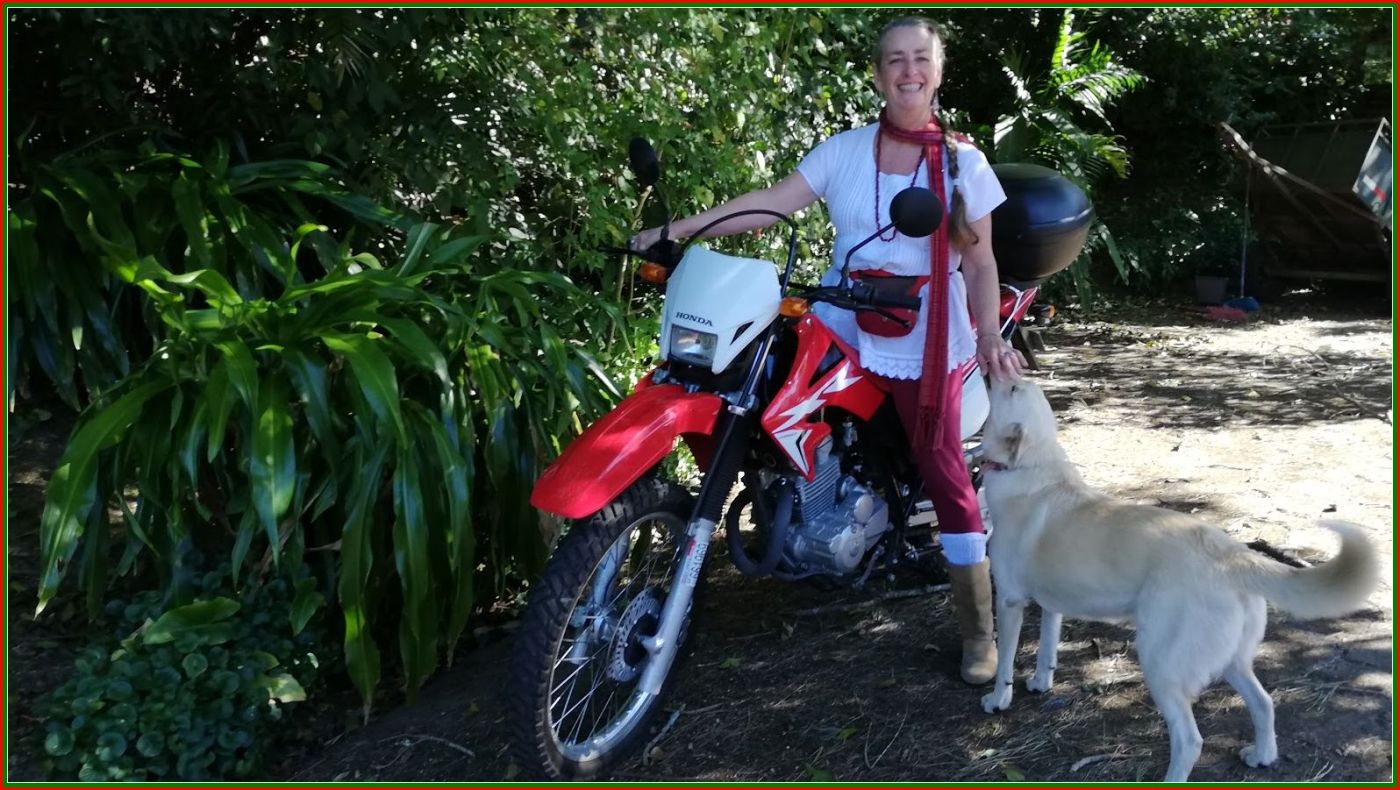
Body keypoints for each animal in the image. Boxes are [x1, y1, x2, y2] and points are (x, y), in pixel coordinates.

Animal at [976, 376, 1378, 782]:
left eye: (1012, 388)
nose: (992, 371)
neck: (1032, 465)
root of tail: (1232, 553)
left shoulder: (1009, 601)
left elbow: (1006, 660)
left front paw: (999, 699)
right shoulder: (1052, 604)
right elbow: (1047, 649)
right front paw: (1040, 683)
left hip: (1161, 666)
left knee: (1190, 740)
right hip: (1232, 661)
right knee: (1264, 703)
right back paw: (1262, 755)